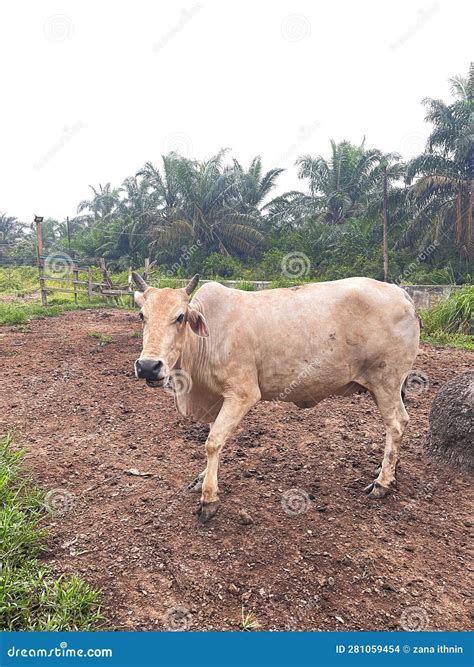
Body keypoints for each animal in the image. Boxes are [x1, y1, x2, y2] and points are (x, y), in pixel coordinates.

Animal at [132, 273, 420, 523]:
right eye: (142, 315)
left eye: (180, 317)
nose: (148, 366)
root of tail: (400, 292)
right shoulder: (217, 399)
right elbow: (215, 437)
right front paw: (202, 478)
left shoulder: (242, 393)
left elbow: (213, 443)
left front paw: (209, 499)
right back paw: (389, 470)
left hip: (386, 381)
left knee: (396, 423)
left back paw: (382, 482)